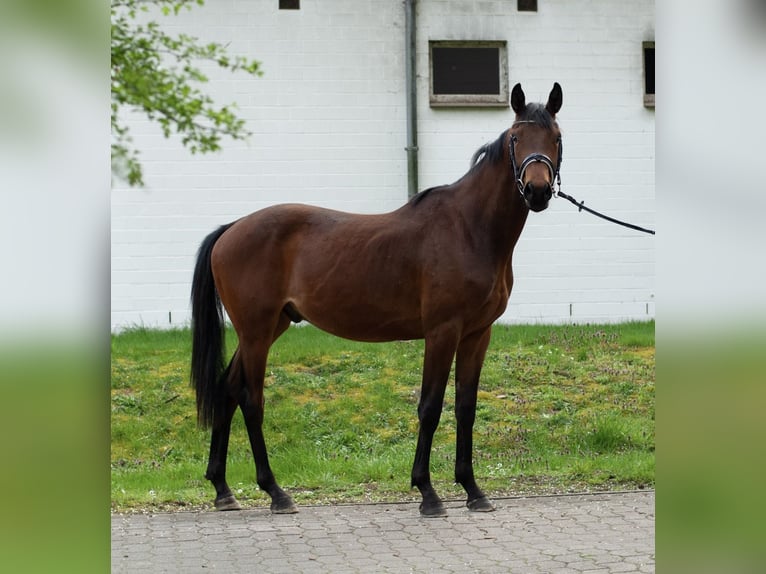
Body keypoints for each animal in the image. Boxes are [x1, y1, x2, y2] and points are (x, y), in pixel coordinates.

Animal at [190, 82, 564, 517]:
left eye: (556, 138)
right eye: (516, 138)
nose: (537, 191)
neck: (469, 229)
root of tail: (231, 229)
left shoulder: (477, 334)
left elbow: (465, 408)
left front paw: (473, 490)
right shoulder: (442, 332)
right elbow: (430, 407)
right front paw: (427, 493)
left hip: (269, 327)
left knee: (227, 389)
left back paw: (222, 488)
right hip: (256, 331)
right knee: (251, 400)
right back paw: (276, 492)